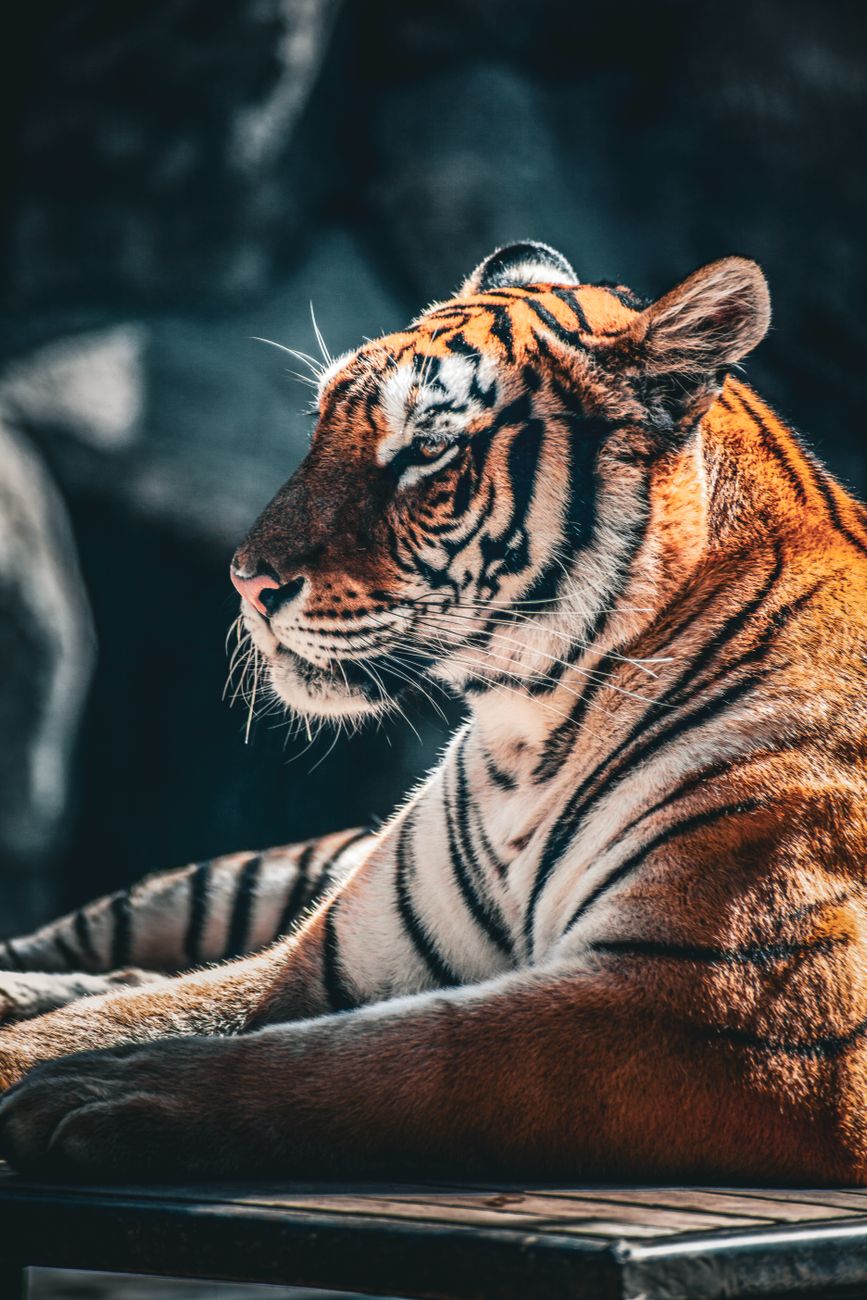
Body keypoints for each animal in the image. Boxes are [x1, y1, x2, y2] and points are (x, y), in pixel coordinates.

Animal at [1, 239, 867, 1185]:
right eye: (320, 424)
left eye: (426, 449)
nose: (247, 580)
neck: (528, 737)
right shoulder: (329, 960)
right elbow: (148, 1010)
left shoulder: (730, 1006)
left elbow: (390, 1056)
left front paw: (96, 1092)